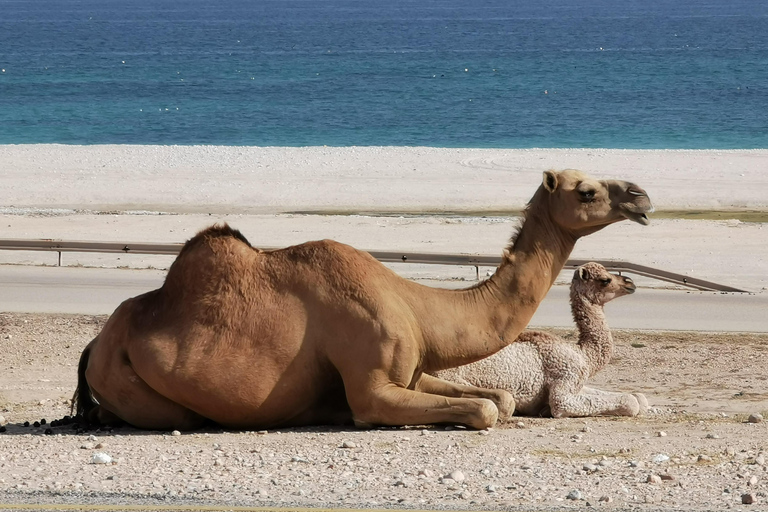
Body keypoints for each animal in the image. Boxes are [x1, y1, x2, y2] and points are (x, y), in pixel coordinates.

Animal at [432, 262, 648, 418]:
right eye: (605, 280)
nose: (630, 283)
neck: (583, 354)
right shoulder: (564, 380)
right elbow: (630, 402)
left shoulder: (577, 383)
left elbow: (637, 396)